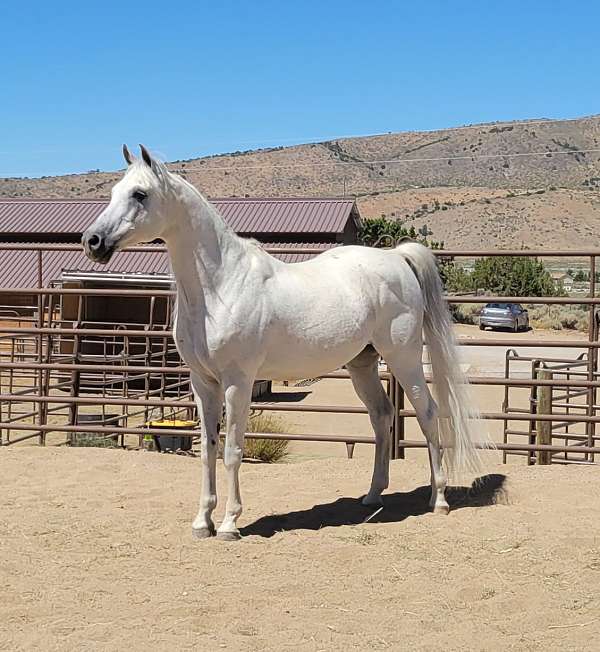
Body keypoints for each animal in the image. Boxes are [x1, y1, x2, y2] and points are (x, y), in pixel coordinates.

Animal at [82, 146, 482, 540]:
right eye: (114, 191)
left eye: (140, 194)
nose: (92, 242)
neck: (221, 285)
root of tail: (396, 257)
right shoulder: (202, 383)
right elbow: (208, 451)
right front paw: (201, 523)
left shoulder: (237, 382)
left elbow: (232, 450)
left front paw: (229, 524)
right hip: (362, 364)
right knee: (381, 416)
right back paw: (372, 495)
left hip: (404, 358)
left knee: (428, 413)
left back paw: (439, 499)